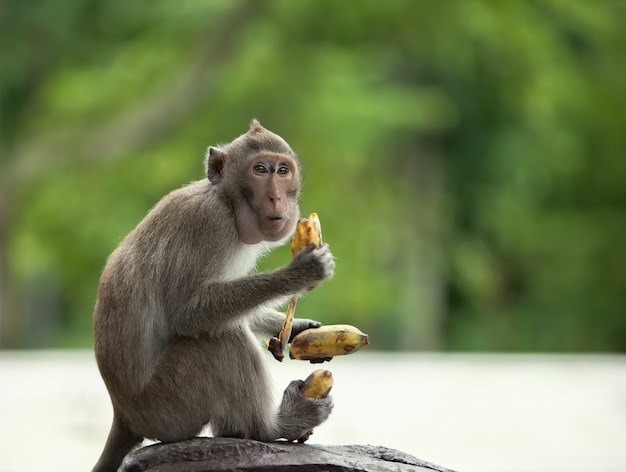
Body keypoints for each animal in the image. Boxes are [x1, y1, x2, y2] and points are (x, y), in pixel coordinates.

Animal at [91, 120, 334, 470]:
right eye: (260, 169)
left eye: (282, 170)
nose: (276, 197)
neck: (228, 204)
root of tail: (125, 416)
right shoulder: (209, 225)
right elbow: (189, 313)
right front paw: (299, 274)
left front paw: (294, 328)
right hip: (168, 405)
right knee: (219, 340)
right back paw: (272, 427)